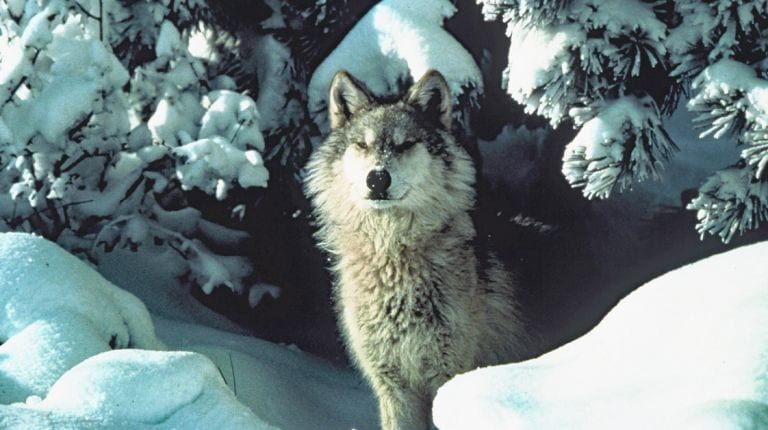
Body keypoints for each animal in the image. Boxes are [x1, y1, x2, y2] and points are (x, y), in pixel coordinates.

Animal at [304, 69, 529, 430]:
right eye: (362, 145)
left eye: (405, 144)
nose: (377, 179)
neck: (392, 258)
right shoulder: (393, 386)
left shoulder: (447, 376)